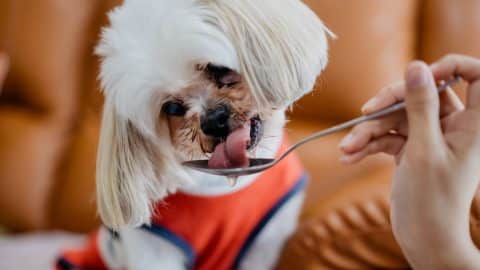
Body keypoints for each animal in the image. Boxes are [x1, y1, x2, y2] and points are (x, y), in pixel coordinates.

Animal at [57, 0, 330, 270]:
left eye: (217, 68)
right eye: (171, 108)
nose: (214, 120)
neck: (220, 185)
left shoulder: (264, 244)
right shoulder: (153, 251)